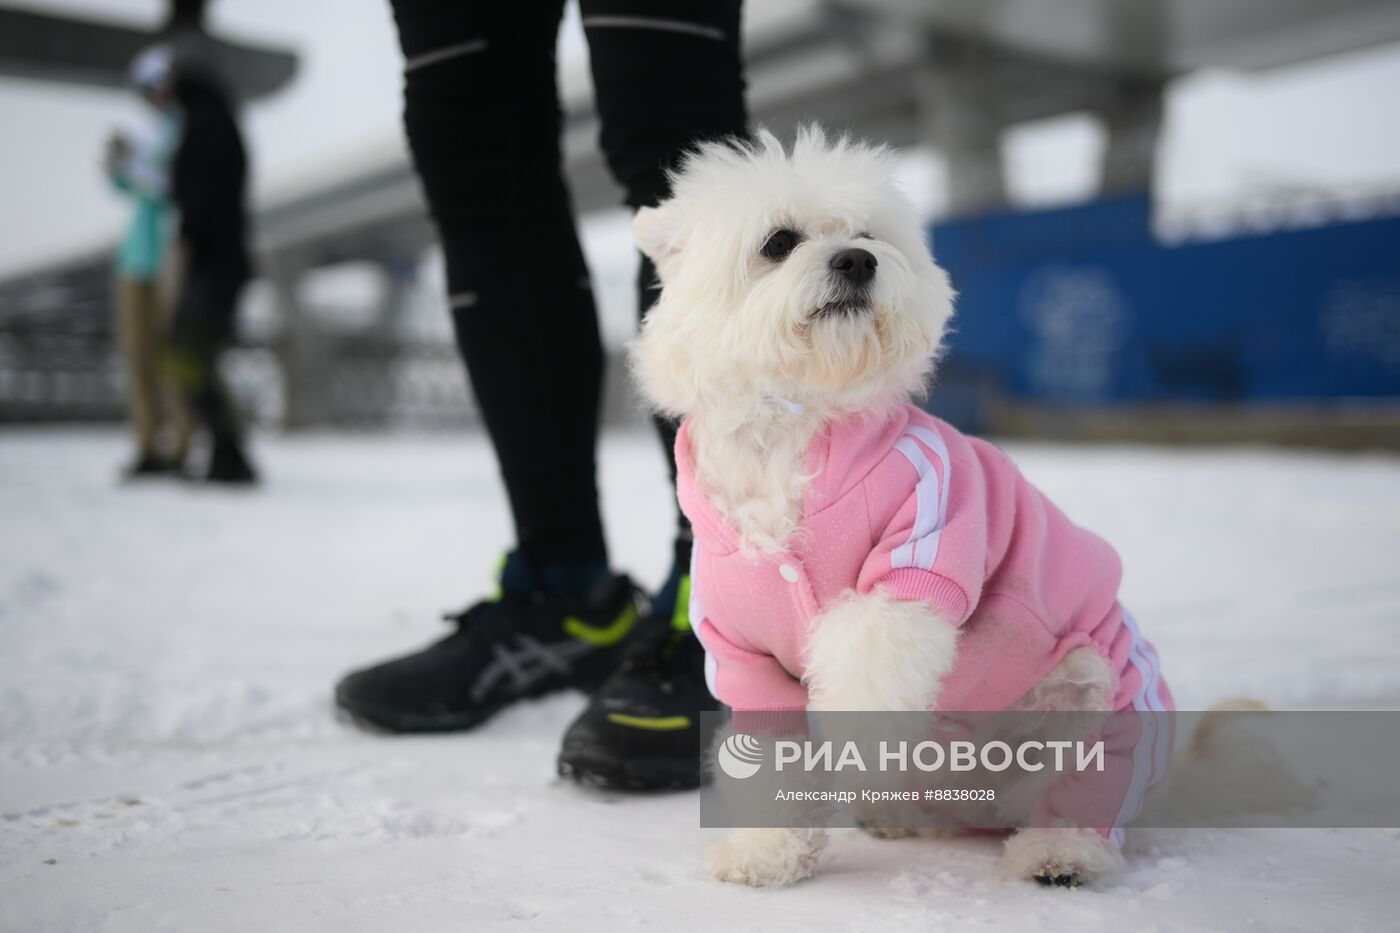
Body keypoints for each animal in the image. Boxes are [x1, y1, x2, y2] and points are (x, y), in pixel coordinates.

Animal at [630, 125, 1153, 885]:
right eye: (778, 241)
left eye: (867, 235)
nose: (856, 260)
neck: (790, 429)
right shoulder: (746, 658)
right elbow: (768, 763)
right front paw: (765, 854)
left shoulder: (919, 562)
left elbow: (866, 667)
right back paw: (902, 817)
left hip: (1098, 703)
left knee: (1089, 794)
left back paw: (1060, 854)